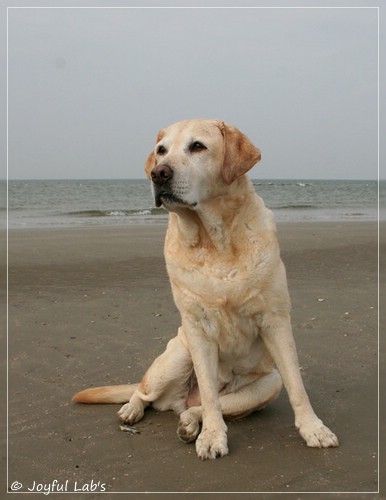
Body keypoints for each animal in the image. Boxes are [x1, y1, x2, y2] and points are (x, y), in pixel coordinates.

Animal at [72, 119, 338, 458]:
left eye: (197, 146)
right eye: (161, 150)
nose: (158, 173)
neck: (215, 241)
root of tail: (178, 399)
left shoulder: (275, 321)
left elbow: (297, 385)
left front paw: (313, 429)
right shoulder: (198, 329)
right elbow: (210, 394)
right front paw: (212, 437)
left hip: (266, 384)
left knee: (201, 407)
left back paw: (188, 422)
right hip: (176, 357)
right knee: (145, 393)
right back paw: (134, 410)